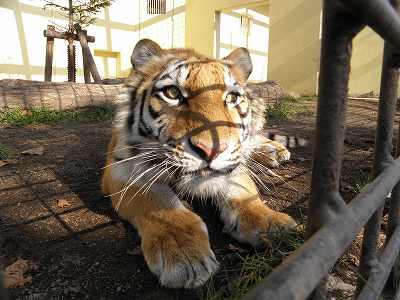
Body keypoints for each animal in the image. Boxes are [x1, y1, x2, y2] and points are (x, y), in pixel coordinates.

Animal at [101, 38, 298, 290]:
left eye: (232, 98)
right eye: (172, 93)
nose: (212, 150)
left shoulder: (234, 163)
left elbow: (245, 192)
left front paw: (270, 224)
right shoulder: (121, 167)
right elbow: (158, 204)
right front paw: (183, 254)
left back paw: (274, 150)